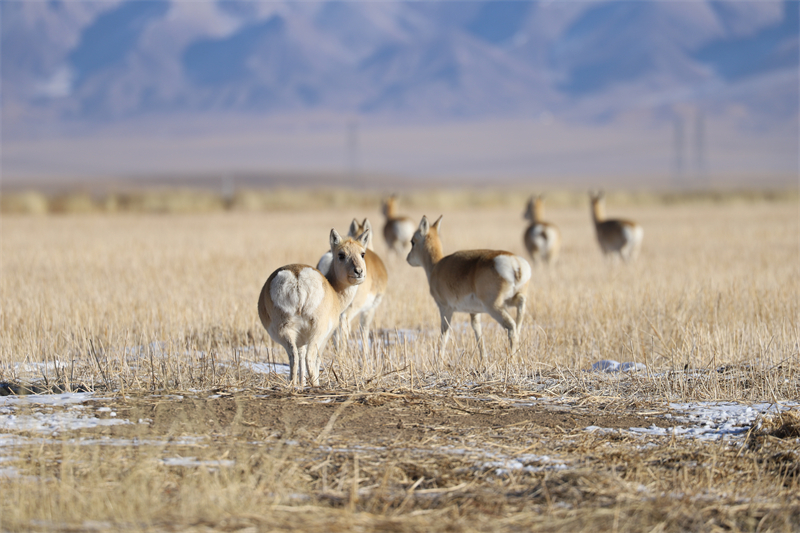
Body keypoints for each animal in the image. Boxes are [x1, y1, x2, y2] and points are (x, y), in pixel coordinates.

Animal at [257, 227, 370, 387]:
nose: (359, 271)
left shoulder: (301, 341)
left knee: (293, 357)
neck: (334, 289)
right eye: (341, 254)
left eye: (362, 253)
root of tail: (296, 276)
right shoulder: (325, 337)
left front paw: (302, 384)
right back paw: (315, 385)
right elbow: (316, 360)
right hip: (316, 332)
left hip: (284, 331)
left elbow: (300, 357)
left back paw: (293, 385)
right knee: (310, 358)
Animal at [406, 215, 531, 362]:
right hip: (513, 300)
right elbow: (478, 333)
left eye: (413, 241)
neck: (436, 266)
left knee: (511, 327)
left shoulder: (445, 309)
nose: (408, 258)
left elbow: (444, 334)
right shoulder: (474, 313)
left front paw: (439, 360)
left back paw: (511, 359)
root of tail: (515, 263)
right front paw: (483, 359)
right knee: (519, 317)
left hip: (494, 307)